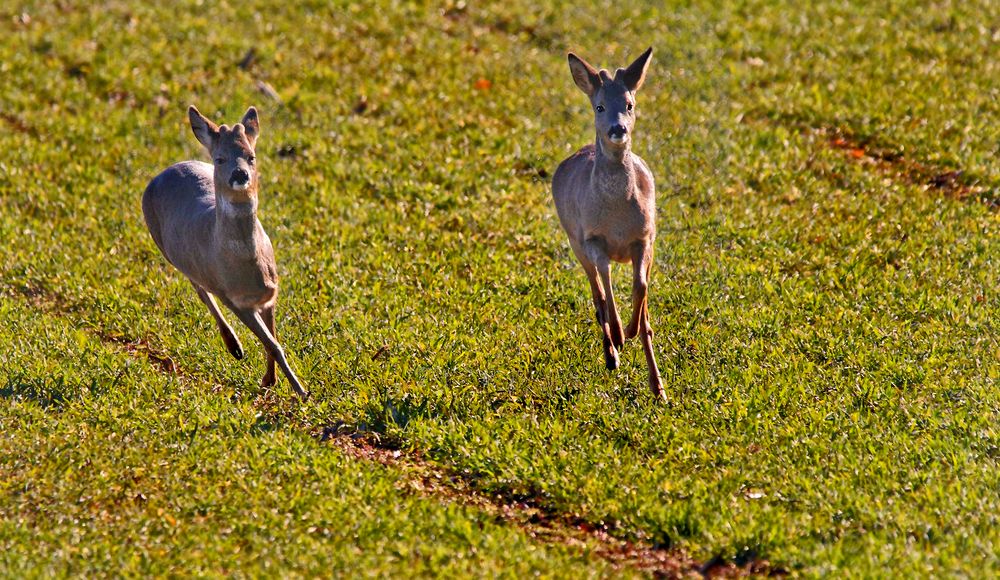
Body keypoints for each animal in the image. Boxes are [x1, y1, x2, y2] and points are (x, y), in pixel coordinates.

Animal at [139, 105, 306, 398]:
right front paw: (301, 391)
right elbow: (274, 344)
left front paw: (270, 380)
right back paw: (234, 347)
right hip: (171, 253)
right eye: (220, 158)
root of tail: (163, 172)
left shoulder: (270, 295)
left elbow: (273, 339)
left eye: (251, 156)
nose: (240, 174)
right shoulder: (235, 300)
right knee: (200, 290)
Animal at [548, 47, 664, 402]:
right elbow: (608, 288)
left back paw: (658, 387)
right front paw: (619, 335)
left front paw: (629, 328)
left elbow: (640, 287)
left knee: (640, 309)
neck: (616, 218)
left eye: (629, 104)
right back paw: (611, 352)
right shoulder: (592, 239)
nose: (617, 129)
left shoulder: (645, 238)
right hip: (574, 241)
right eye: (599, 106)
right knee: (597, 294)